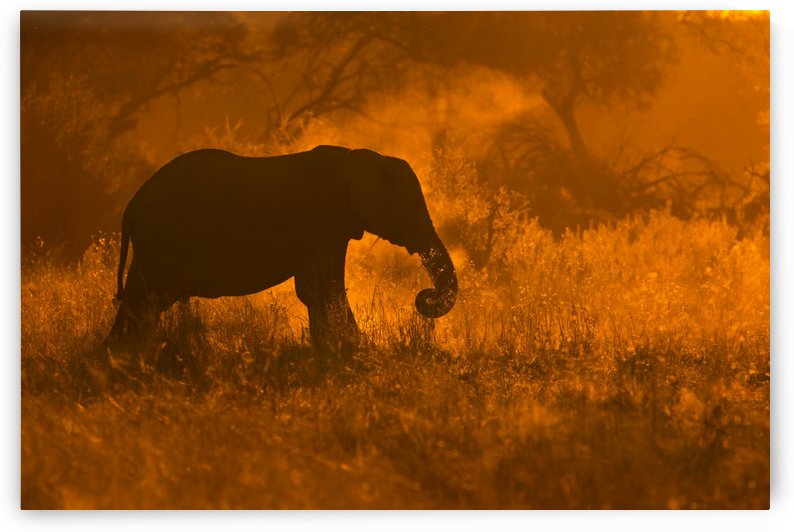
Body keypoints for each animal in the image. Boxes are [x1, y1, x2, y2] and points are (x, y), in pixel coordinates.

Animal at [108, 145, 457, 352]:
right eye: (409, 212)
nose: (424, 298)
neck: (354, 157)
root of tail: (132, 206)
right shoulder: (323, 221)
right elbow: (321, 288)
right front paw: (357, 349)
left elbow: (319, 290)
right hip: (161, 241)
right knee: (144, 300)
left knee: (146, 302)